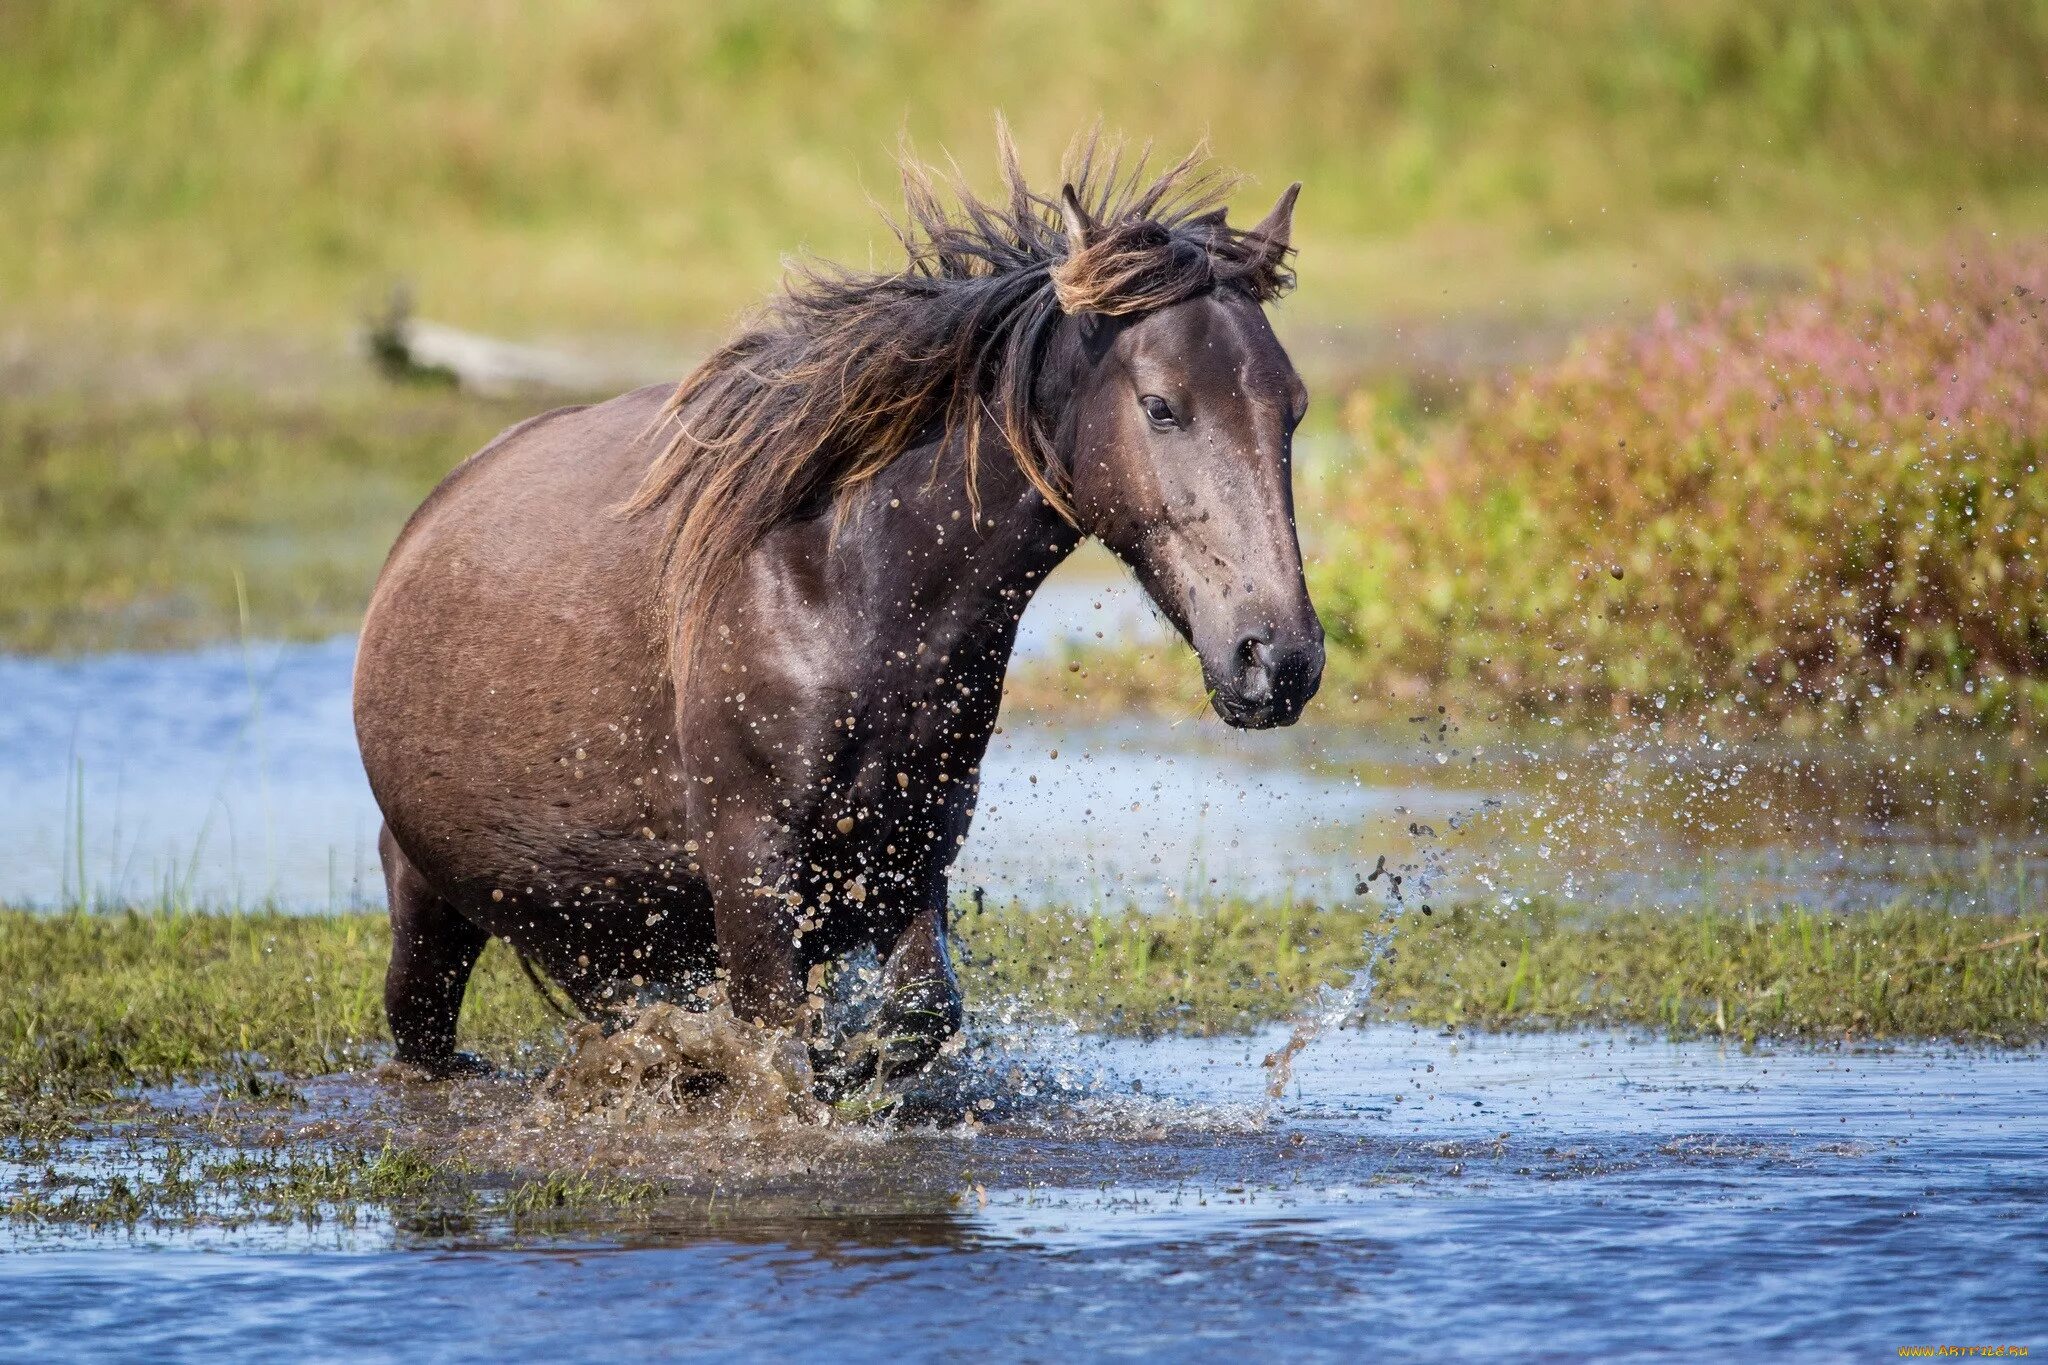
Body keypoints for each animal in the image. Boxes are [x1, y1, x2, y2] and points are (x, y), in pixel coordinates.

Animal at [348, 133, 1327, 1096]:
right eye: (1161, 405)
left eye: (1293, 409)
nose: (1278, 659)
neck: (847, 588)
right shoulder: (748, 861)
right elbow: (779, 1052)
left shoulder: (913, 848)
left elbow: (917, 1015)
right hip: (428, 927)